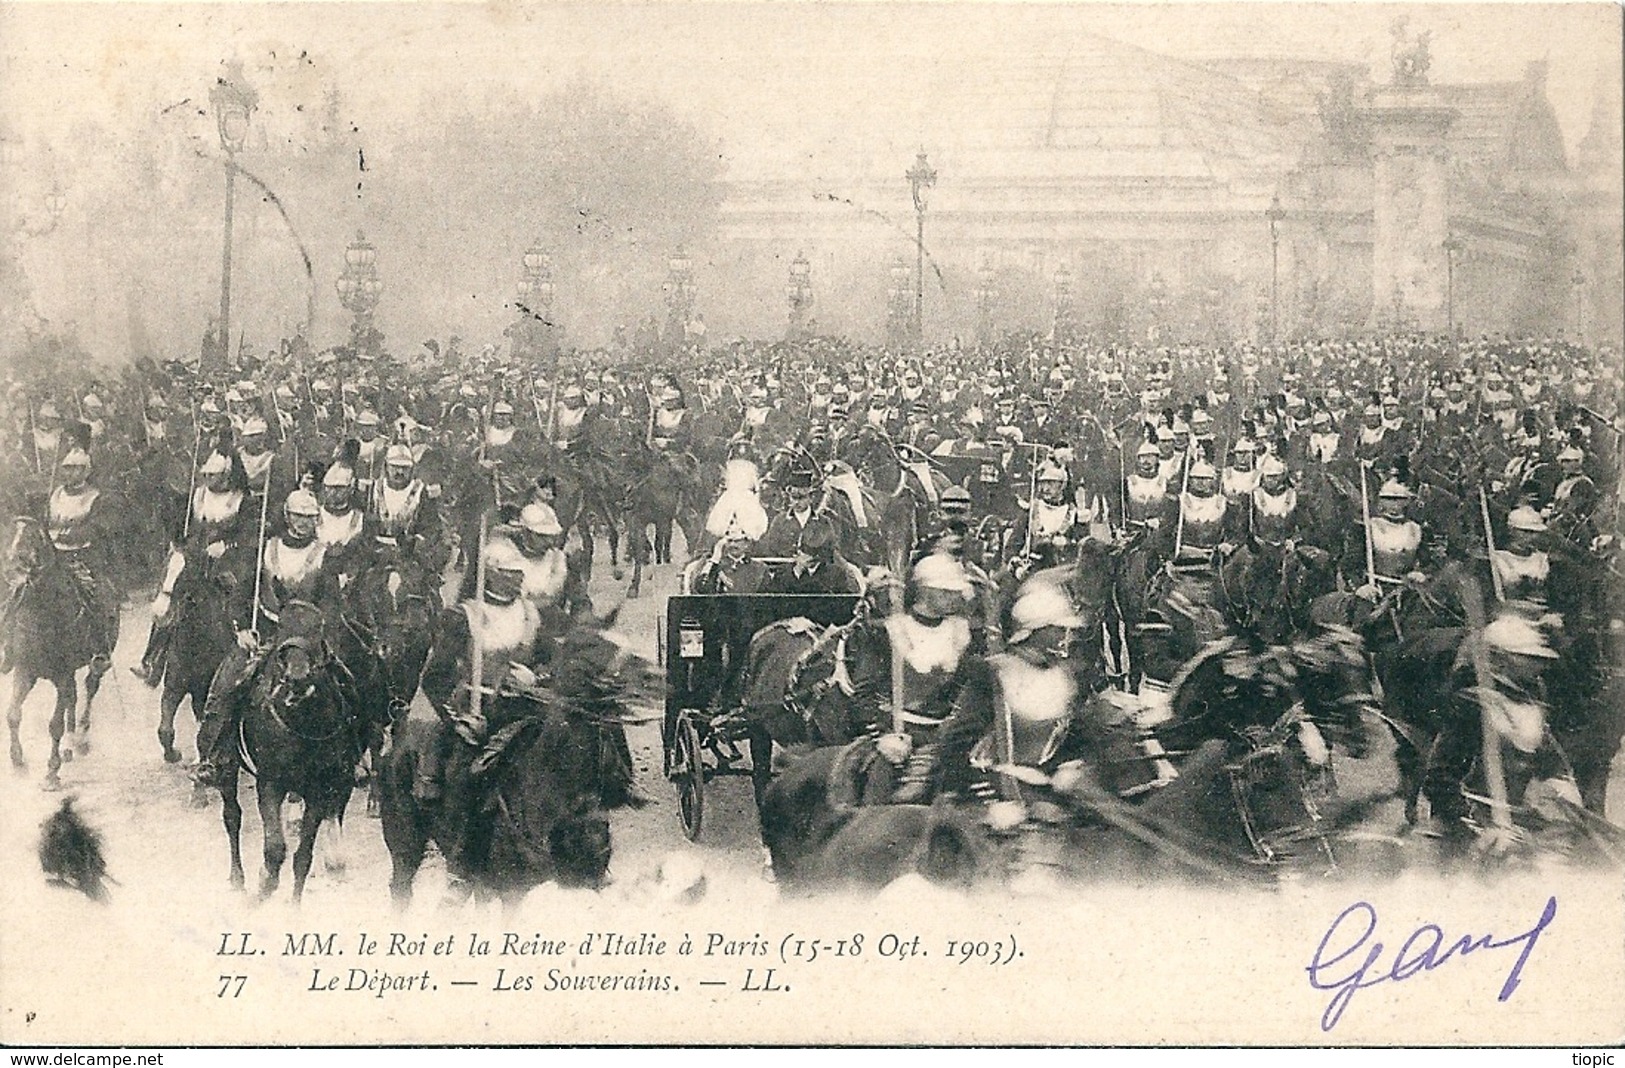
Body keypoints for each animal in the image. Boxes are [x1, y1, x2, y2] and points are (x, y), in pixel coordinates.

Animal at [3, 513, 109, 786]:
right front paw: (17, 760)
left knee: (89, 688)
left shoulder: (62, 674)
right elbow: (13, 714)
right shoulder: (25, 671)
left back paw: (81, 738)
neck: (43, 613)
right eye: (11, 533)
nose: (13, 570)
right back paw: (70, 745)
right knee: (73, 697)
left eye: (33, 536)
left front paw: (51, 772)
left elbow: (54, 724)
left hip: (95, 664)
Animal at [216, 598, 359, 897]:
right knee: (232, 816)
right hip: (227, 766)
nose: (297, 678)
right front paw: (262, 889)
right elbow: (274, 851)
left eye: (319, 629)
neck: (301, 722)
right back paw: (237, 877)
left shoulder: (318, 790)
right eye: (282, 627)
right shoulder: (270, 785)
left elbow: (303, 857)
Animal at [377, 611, 656, 903]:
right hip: (404, 843)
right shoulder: (511, 890)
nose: (650, 675)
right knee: (402, 887)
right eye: (587, 646)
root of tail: (397, 738)